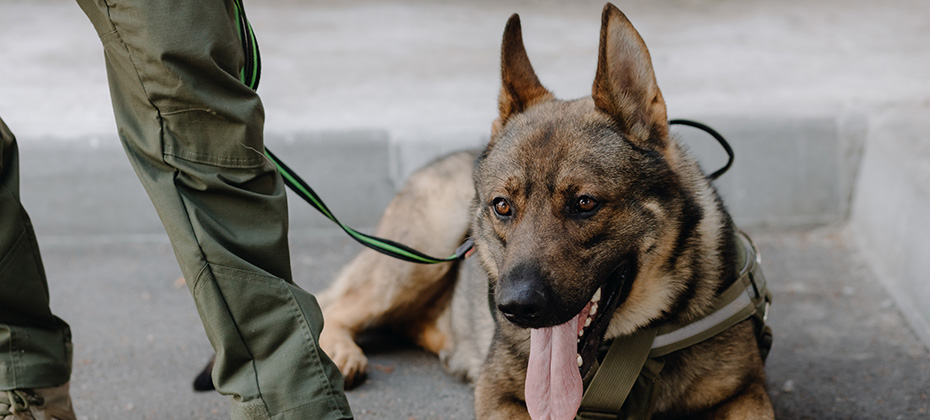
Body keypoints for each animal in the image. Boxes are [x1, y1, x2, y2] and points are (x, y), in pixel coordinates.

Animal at [196, 4, 768, 420]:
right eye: (503, 207)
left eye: (585, 203)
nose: (515, 308)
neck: (633, 352)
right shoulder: (502, 396)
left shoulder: (747, 395)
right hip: (418, 256)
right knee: (336, 303)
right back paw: (343, 350)